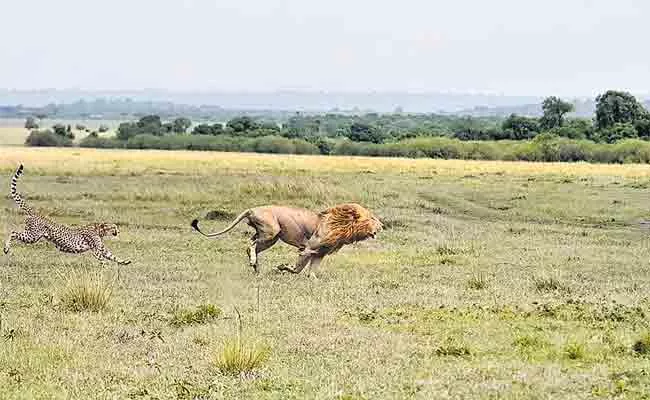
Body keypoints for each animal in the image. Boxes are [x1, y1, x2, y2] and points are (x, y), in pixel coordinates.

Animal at [3, 163, 131, 266]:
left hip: (32, 235)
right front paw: (105, 269)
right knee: (13, 232)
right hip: (32, 236)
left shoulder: (102, 249)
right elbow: (102, 260)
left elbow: (112, 256)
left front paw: (125, 262)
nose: (118, 231)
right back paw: (6, 249)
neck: (99, 230)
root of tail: (36, 213)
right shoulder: (95, 250)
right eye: (114, 227)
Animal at [190, 202, 380, 276]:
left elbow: (311, 271)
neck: (343, 225)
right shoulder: (309, 248)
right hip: (272, 231)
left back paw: (256, 267)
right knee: (251, 245)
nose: (382, 226)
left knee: (250, 244)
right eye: (372, 218)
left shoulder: (319, 253)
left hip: (270, 237)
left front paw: (313, 279)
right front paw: (282, 267)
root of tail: (252, 209)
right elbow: (297, 268)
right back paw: (253, 262)